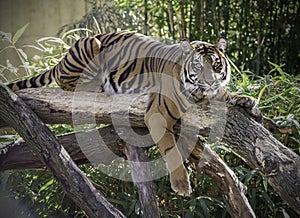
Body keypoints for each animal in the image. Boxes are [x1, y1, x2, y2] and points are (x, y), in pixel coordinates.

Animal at [7, 31, 260, 197]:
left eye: (216, 65)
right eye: (198, 66)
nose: (209, 81)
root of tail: (60, 60)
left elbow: (225, 94)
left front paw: (246, 99)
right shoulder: (157, 113)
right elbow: (170, 150)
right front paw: (181, 184)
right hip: (90, 47)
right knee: (67, 83)